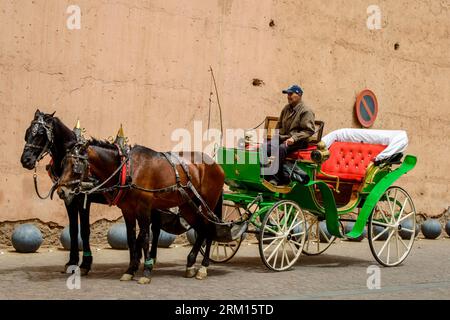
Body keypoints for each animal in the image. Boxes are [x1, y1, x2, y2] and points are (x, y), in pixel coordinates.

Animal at [20, 109, 107, 272]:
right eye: (27, 132)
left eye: (41, 133)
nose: (25, 160)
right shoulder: (68, 198)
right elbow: (73, 230)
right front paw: (72, 261)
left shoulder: (83, 198)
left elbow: (84, 230)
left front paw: (86, 263)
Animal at [56, 139, 225, 284]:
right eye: (63, 164)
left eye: (75, 165)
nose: (61, 191)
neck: (128, 169)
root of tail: (216, 165)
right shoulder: (127, 210)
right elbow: (131, 238)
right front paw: (130, 270)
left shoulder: (144, 208)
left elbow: (144, 237)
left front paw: (147, 271)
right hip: (188, 205)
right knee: (201, 229)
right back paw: (190, 264)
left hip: (208, 203)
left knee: (209, 229)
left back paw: (203, 266)